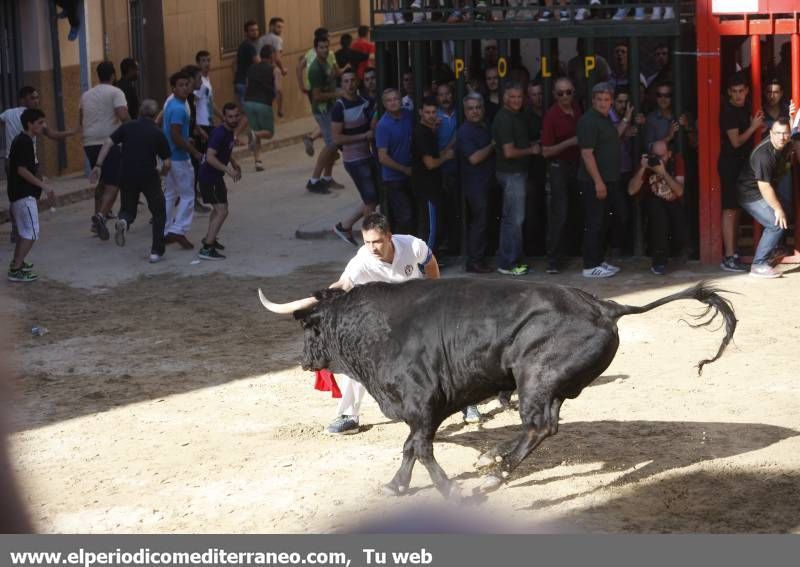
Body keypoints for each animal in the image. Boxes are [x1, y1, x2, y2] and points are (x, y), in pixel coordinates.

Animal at [260, 278, 736, 496]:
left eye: (307, 328)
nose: (304, 361)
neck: (377, 330)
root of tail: (605, 306)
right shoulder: (423, 411)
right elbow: (411, 447)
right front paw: (397, 485)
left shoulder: (422, 405)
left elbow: (419, 447)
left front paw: (450, 489)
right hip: (547, 384)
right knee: (544, 425)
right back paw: (495, 459)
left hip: (535, 378)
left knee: (540, 426)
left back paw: (494, 471)